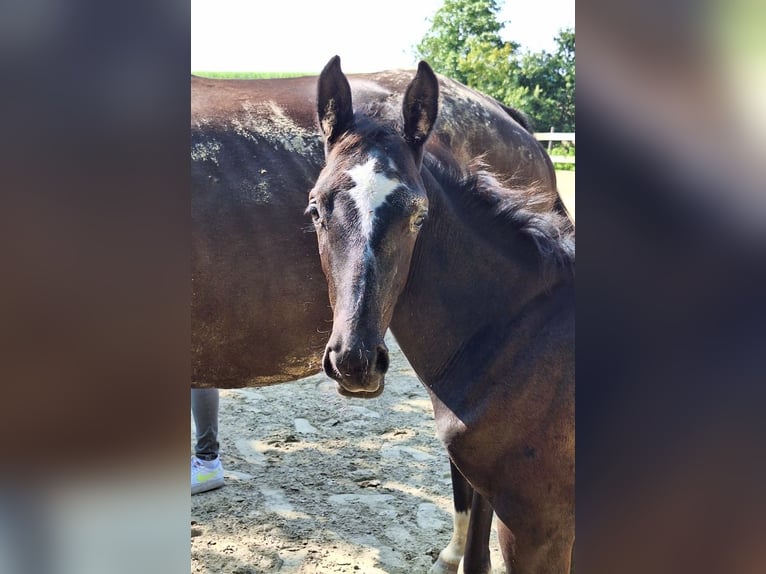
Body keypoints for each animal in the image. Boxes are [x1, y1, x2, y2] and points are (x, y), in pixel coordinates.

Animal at [308, 56, 572, 572]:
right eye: (315, 209)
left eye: (419, 215)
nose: (355, 362)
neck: (515, 336)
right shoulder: (487, 491)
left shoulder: (538, 526)